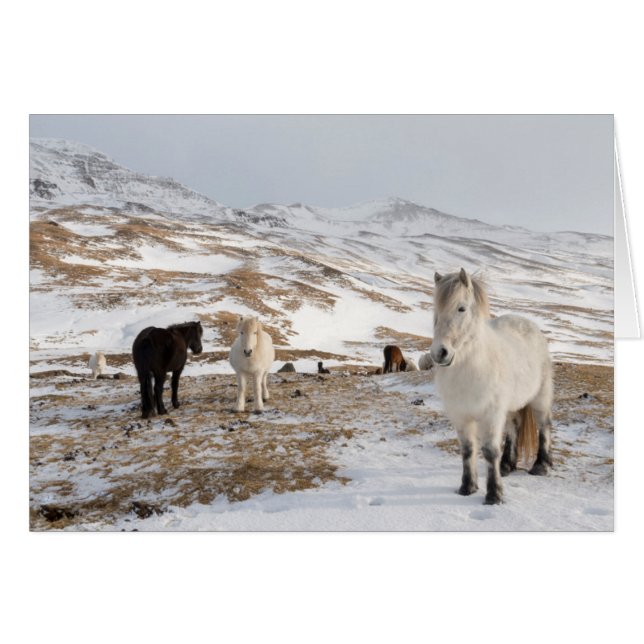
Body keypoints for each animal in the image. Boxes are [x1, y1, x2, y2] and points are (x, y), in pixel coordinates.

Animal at [430, 268, 553, 505]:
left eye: (461, 308)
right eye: (436, 311)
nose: (440, 353)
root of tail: (528, 324)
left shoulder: (491, 415)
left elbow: (489, 452)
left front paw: (494, 495)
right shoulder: (460, 416)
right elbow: (468, 450)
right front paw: (467, 487)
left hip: (540, 399)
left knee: (544, 426)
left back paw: (541, 466)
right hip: (512, 405)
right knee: (514, 427)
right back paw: (507, 465)